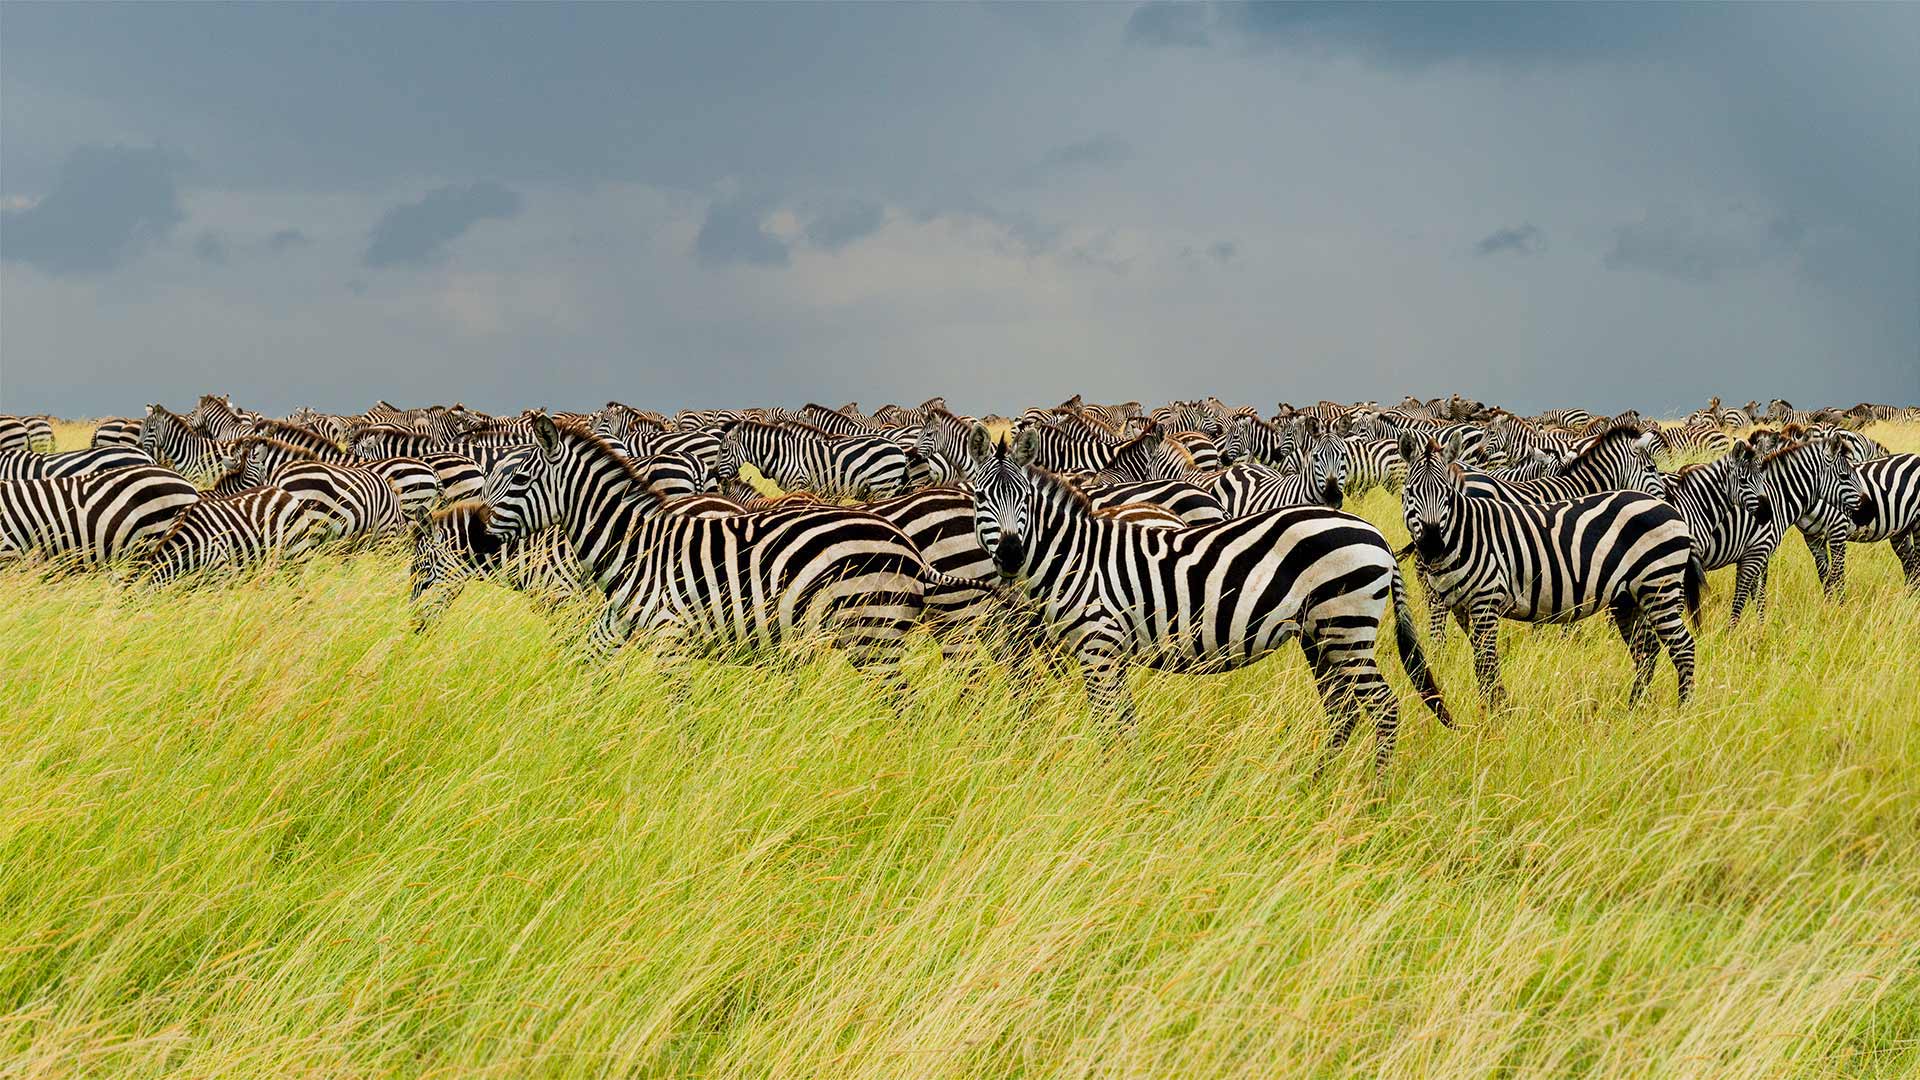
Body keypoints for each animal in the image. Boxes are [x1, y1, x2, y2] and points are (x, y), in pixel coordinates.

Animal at [715, 420, 910, 500]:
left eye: (723, 451)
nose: (716, 477)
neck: (782, 454)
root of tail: (898, 448)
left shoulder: (798, 484)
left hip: (884, 486)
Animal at [963, 423, 1451, 770]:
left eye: (1023, 499)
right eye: (982, 499)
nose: (1010, 555)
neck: (1076, 557)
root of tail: (1377, 536)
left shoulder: (1098, 648)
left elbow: (1109, 724)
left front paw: (1112, 782)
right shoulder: (1106, 653)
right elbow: (1123, 721)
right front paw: (1129, 776)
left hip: (1346, 630)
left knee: (1384, 709)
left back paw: (1374, 797)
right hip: (1320, 636)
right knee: (1343, 710)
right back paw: (1315, 784)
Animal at [1398, 433, 1702, 707]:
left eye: (1446, 494)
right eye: (1410, 492)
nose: (1431, 544)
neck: (1467, 532)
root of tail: (1669, 511)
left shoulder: (1487, 600)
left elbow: (1485, 661)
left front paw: (1494, 714)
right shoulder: (1464, 605)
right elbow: (1483, 658)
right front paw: (1496, 708)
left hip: (1657, 586)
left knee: (1682, 646)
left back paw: (1682, 710)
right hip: (1629, 597)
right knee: (1647, 649)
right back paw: (1636, 708)